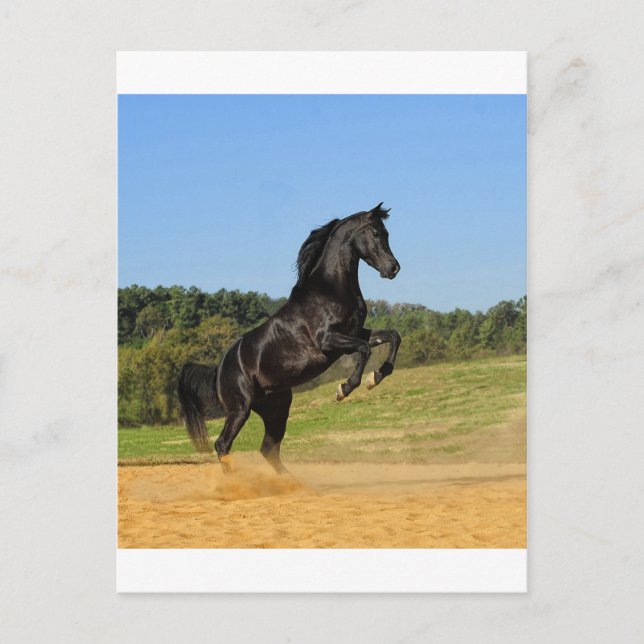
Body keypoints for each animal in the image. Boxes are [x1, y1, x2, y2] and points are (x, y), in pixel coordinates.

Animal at [177, 203, 401, 474]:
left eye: (387, 233)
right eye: (376, 234)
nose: (393, 268)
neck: (329, 290)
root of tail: (218, 370)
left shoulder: (356, 333)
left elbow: (392, 337)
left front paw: (376, 377)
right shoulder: (329, 341)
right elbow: (364, 350)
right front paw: (345, 389)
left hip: (277, 408)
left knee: (268, 448)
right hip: (239, 408)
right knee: (223, 444)